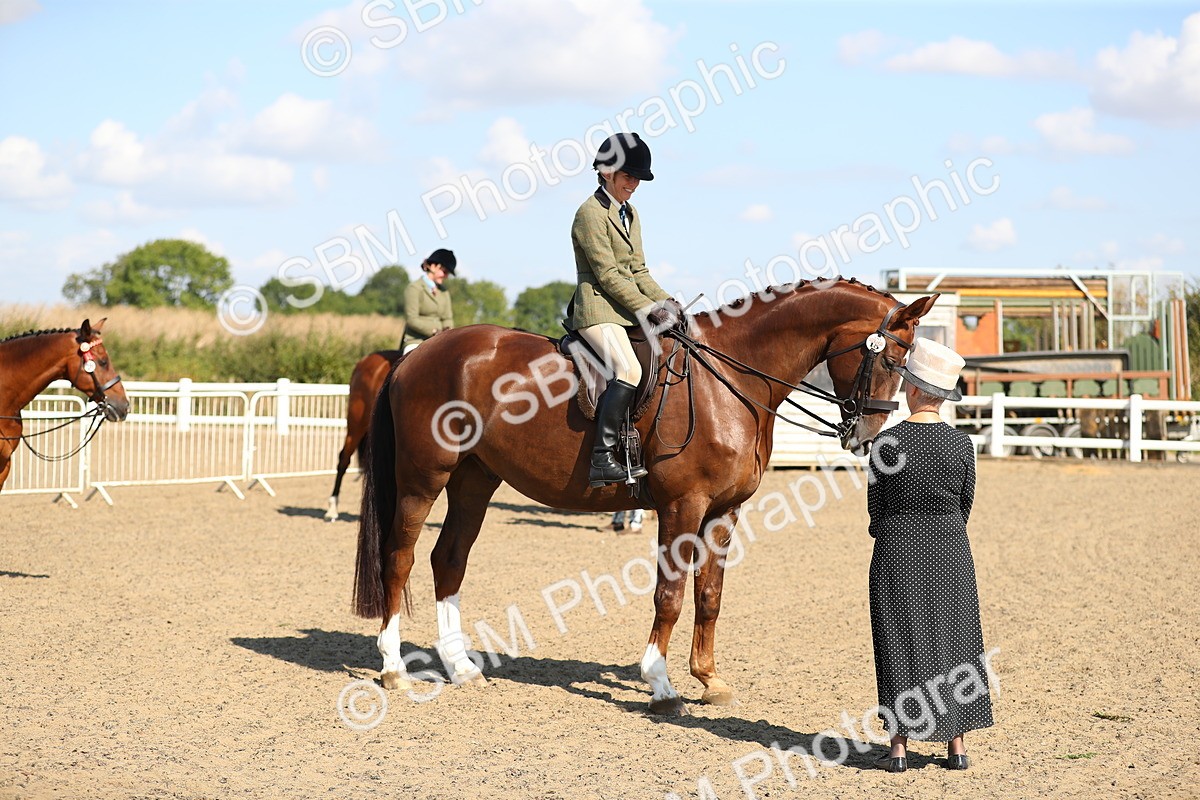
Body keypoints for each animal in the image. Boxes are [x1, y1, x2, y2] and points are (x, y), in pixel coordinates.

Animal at [353, 278, 937, 714]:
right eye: (890, 357)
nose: (868, 436)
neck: (728, 379)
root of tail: (415, 357)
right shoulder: (683, 506)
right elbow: (670, 595)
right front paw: (661, 683)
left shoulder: (724, 512)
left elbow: (710, 595)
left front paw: (709, 679)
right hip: (423, 479)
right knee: (400, 559)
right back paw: (393, 668)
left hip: (474, 480)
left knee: (448, 558)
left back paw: (460, 667)